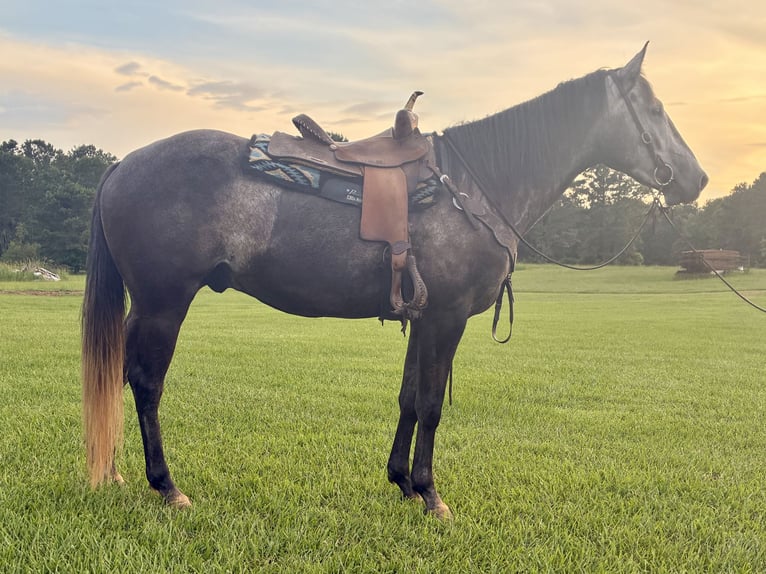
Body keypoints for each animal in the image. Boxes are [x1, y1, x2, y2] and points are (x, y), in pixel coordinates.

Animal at [82, 44, 707, 519]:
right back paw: (165, 485)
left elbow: (408, 397)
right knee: (145, 382)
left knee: (115, 373)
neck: (473, 188)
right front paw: (431, 494)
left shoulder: (422, 315)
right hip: (164, 303)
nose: (696, 178)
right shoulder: (446, 317)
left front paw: (402, 481)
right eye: (653, 108)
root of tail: (123, 163)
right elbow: (430, 404)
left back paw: (111, 471)